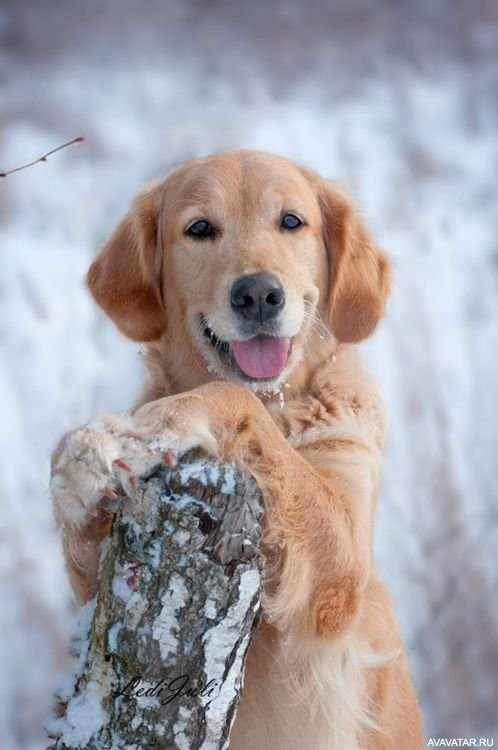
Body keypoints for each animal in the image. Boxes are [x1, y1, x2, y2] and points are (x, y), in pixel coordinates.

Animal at [50, 150, 422, 748]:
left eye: (291, 221)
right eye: (200, 228)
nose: (258, 295)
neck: (278, 405)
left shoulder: (343, 565)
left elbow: (231, 397)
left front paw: (164, 422)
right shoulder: (93, 608)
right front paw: (83, 464)